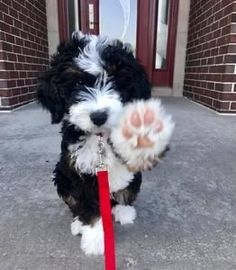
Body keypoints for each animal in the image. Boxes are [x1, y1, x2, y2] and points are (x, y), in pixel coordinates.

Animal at [37, 31, 173, 255]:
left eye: (116, 82)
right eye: (76, 84)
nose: (99, 116)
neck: (100, 137)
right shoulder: (80, 170)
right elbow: (89, 205)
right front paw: (94, 239)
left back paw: (123, 211)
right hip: (61, 175)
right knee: (74, 203)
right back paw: (78, 223)